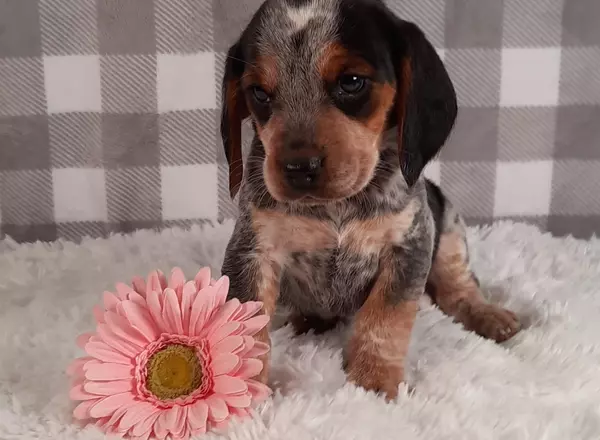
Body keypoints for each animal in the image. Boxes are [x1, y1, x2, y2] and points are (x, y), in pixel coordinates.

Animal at [219, 0, 520, 400]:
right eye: (259, 93)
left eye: (351, 82)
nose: (299, 168)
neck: (336, 208)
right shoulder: (251, 252)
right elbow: (245, 327)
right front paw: (240, 394)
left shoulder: (409, 247)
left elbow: (384, 318)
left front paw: (373, 382)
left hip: (450, 231)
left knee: (459, 287)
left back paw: (489, 315)